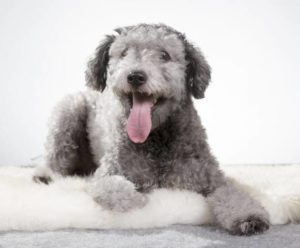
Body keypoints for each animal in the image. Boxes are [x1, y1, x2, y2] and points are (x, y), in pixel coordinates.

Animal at [34, 23, 270, 236]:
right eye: (124, 53)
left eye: (164, 55)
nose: (135, 76)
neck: (156, 137)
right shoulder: (105, 175)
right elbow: (111, 188)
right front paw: (138, 198)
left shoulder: (211, 178)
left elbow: (233, 194)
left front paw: (249, 217)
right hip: (67, 111)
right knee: (55, 157)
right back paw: (45, 175)